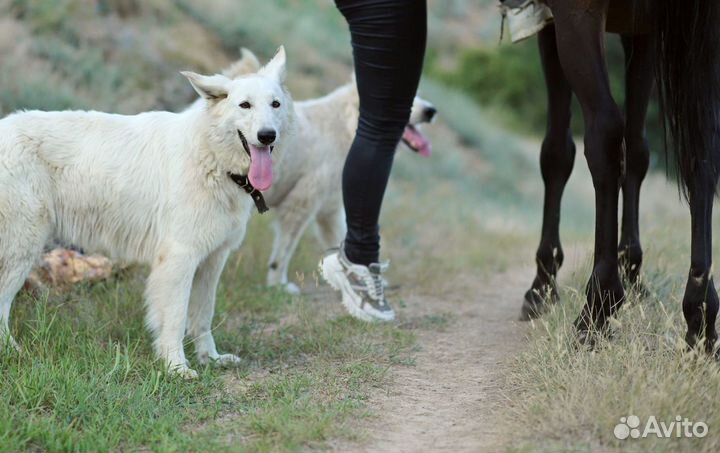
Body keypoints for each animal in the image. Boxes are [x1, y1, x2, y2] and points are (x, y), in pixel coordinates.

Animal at [0, 47, 294, 376]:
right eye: (245, 105)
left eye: (275, 104)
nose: (267, 135)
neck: (211, 157)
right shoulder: (180, 258)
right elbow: (176, 318)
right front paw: (176, 367)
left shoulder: (212, 259)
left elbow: (203, 316)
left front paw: (211, 359)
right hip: (22, 247)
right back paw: (12, 353)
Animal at [217, 47, 436, 292]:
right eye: (409, 98)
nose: (431, 111)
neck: (347, 125)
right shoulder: (301, 203)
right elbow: (284, 252)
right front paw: (278, 285)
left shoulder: (330, 209)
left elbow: (342, 242)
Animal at [520, 0, 720, 352]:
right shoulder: (643, 30)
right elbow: (637, 149)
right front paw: (633, 269)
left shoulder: (550, 20)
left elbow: (557, 151)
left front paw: (542, 284)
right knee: (703, 146)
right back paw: (701, 319)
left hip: (576, 19)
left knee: (604, 132)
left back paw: (596, 310)